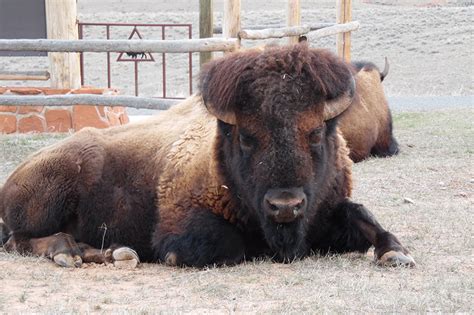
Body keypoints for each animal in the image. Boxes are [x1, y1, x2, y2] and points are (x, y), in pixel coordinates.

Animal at [0, 45, 414, 270]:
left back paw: (116, 254)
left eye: (315, 132)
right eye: (246, 136)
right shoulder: (181, 225)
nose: (285, 205)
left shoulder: (327, 208)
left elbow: (364, 217)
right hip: (46, 203)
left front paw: (396, 253)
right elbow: (224, 246)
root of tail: (14, 177)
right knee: (19, 240)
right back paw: (67, 253)